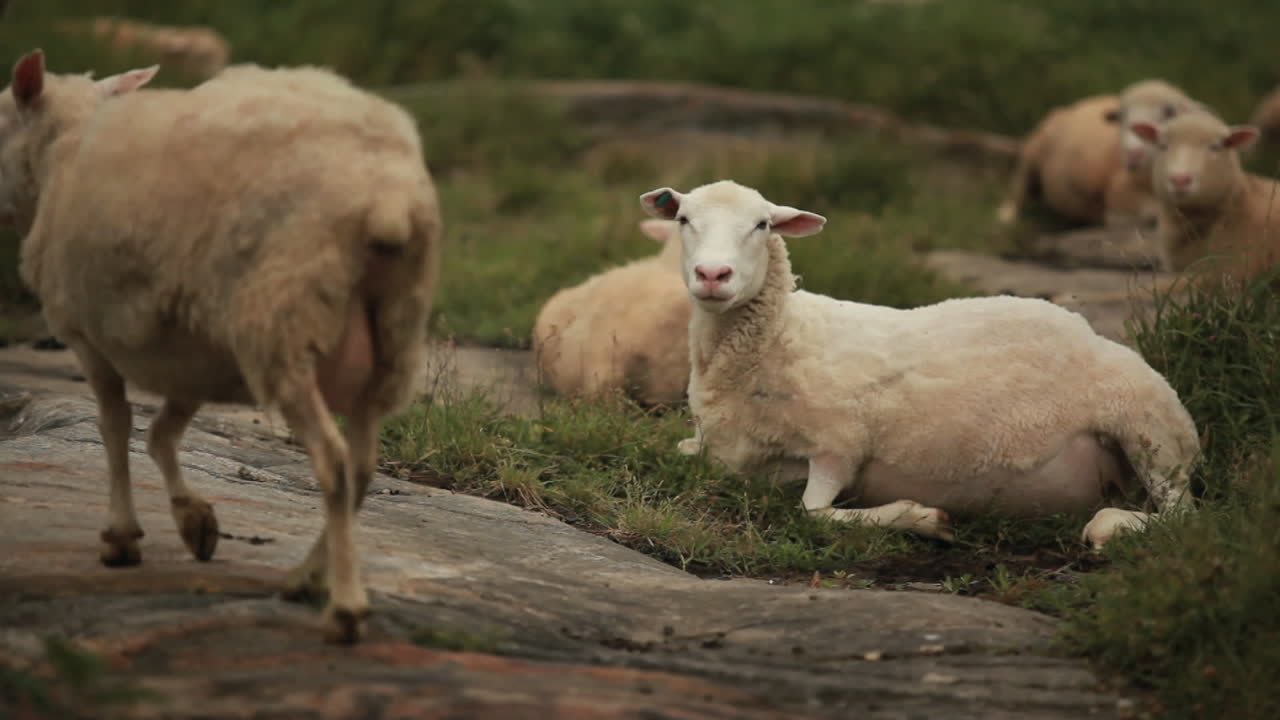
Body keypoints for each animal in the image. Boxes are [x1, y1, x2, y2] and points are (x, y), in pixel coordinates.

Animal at [1, 49, 441, 644]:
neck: (59, 156)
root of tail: (386, 197)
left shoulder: (86, 335)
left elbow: (114, 428)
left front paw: (122, 536)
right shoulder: (192, 354)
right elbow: (161, 435)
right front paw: (195, 522)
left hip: (281, 321)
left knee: (335, 463)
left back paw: (343, 607)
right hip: (389, 337)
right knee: (363, 468)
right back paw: (307, 577)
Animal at [641, 179, 1199, 550]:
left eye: (761, 224)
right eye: (684, 219)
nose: (713, 274)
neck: (782, 337)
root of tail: (1090, 331)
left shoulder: (839, 445)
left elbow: (812, 514)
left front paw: (922, 517)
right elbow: (681, 450)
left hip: (1152, 428)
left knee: (1183, 515)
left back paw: (1108, 527)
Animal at [997, 80, 1202, 233]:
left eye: (1169, 112)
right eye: (1121, 117)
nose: (1132, 153)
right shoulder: (1118, 190)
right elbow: (1150, 211)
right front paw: (1116, 218)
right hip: (1033, 151)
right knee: (1018, 187)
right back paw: (1006, 219)